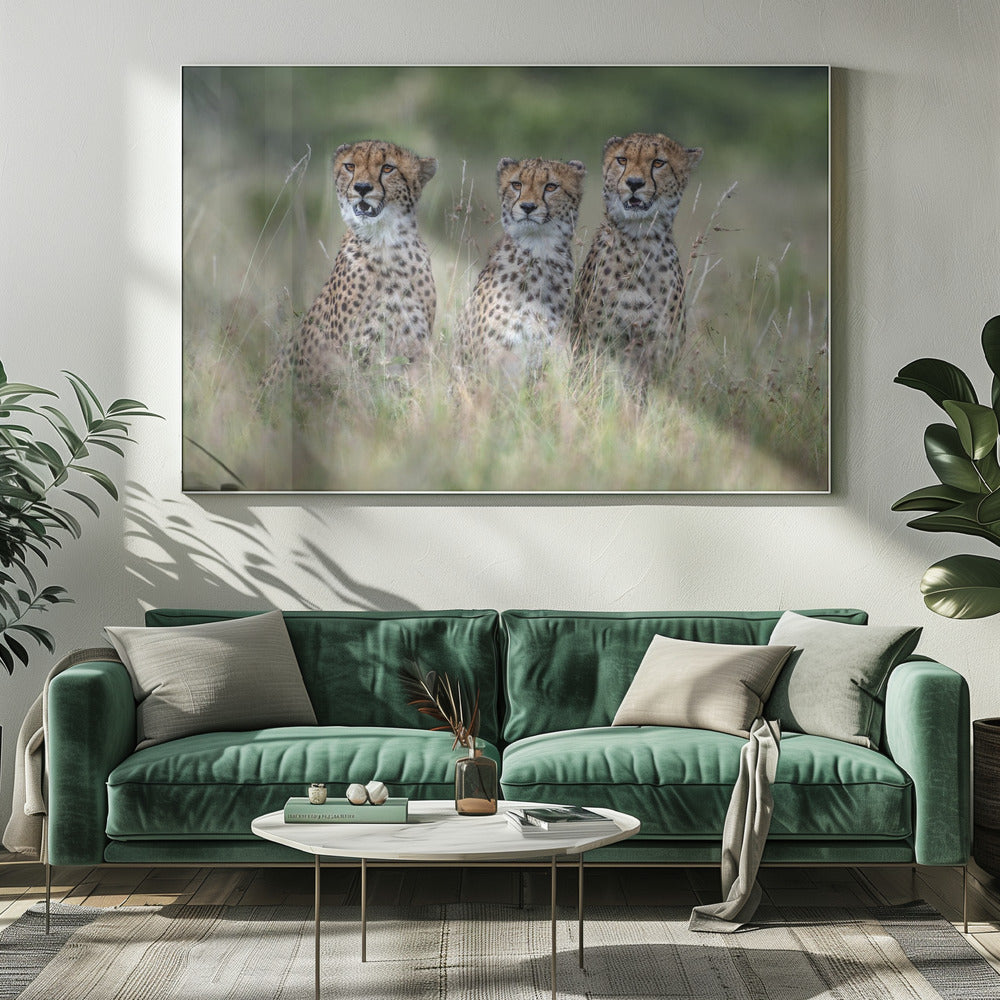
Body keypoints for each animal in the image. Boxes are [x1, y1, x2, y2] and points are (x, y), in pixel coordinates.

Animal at [259, 139, 438, 392]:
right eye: (350, 166)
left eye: (388, 168)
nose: (362, 187)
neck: (386, 243)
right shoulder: (356, 357)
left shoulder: (413, 354)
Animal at [573, 131, 702, 383]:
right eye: (622, 160)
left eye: (658, 163)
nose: (634, 183)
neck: (640, 240)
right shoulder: (598, 344)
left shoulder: (662, 352)